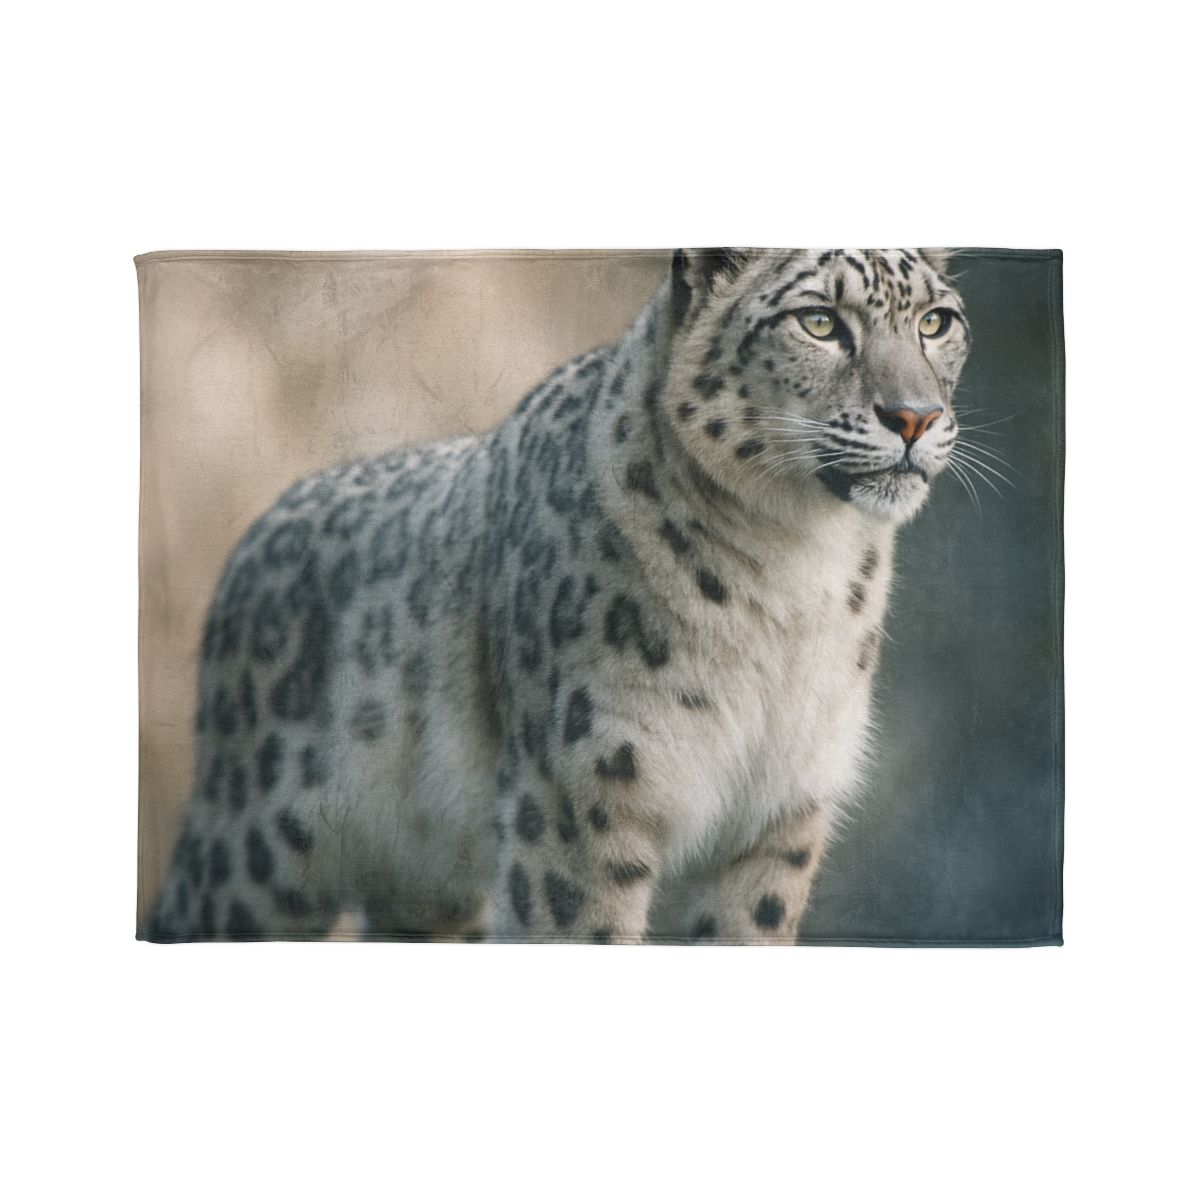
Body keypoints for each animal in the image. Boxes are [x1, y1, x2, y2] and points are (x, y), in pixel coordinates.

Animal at [144, 247, 970, 944]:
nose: (914, 416)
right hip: (253, 854)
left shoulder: (780, 814)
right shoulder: (581, 797)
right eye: (820, 321)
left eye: (936, 321)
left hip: (430, 886)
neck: (794, 570)